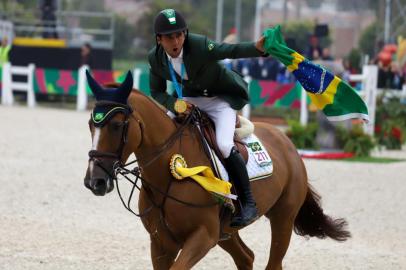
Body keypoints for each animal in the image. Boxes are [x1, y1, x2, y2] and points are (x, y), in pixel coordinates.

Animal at [84, 71, 350, 270]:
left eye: (116, 125)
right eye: (90, 124)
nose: (94, 182)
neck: (168, 172)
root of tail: (287, 142)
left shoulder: (203, 236)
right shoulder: (160, 243)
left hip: (282, 218)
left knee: (273, 262)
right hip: (228, 231)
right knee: (246, 258)